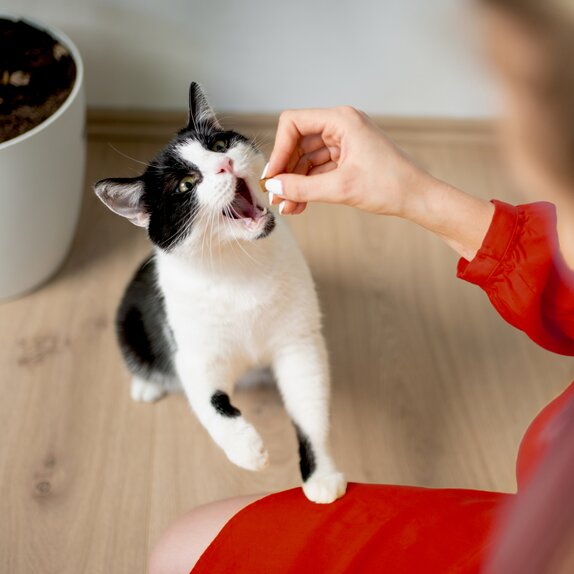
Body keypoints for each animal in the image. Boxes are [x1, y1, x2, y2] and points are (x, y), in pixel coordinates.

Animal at [95, 84, 346, 504]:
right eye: (185, 184)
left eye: (219, 143)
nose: (226, 164)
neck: (239, 266)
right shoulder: (193, 350)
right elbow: (210, 403)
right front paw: (246, 449)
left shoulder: (299, 342)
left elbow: (309, 405)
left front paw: (322, 475)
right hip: (130, 317)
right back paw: (147, 383)